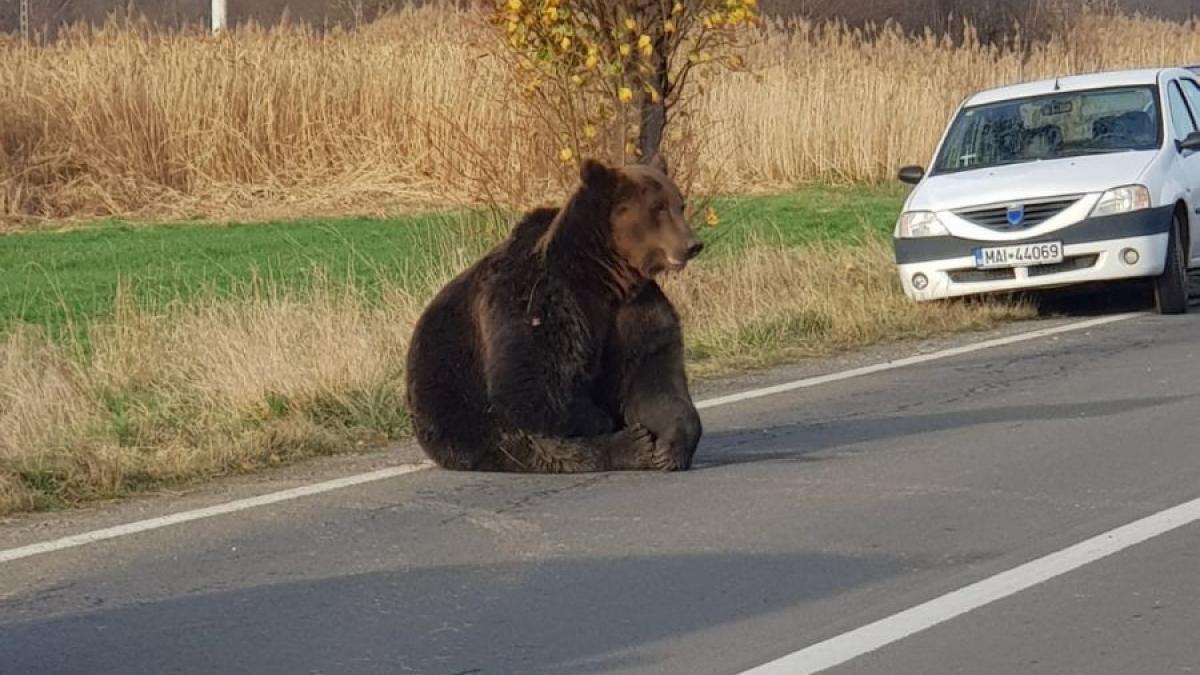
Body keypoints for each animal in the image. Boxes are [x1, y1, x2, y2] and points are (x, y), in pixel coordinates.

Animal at [405, 154, 700, 470]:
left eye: (679, 204)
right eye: (658, 207)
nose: (692, 244)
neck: (604, 277)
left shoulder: (634, 312)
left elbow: (652, 377)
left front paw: (670, 448)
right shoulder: (538, 300)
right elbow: (531, 386)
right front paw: (619, 430)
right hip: (457, 411)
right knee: (535, 445)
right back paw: (631, 446)